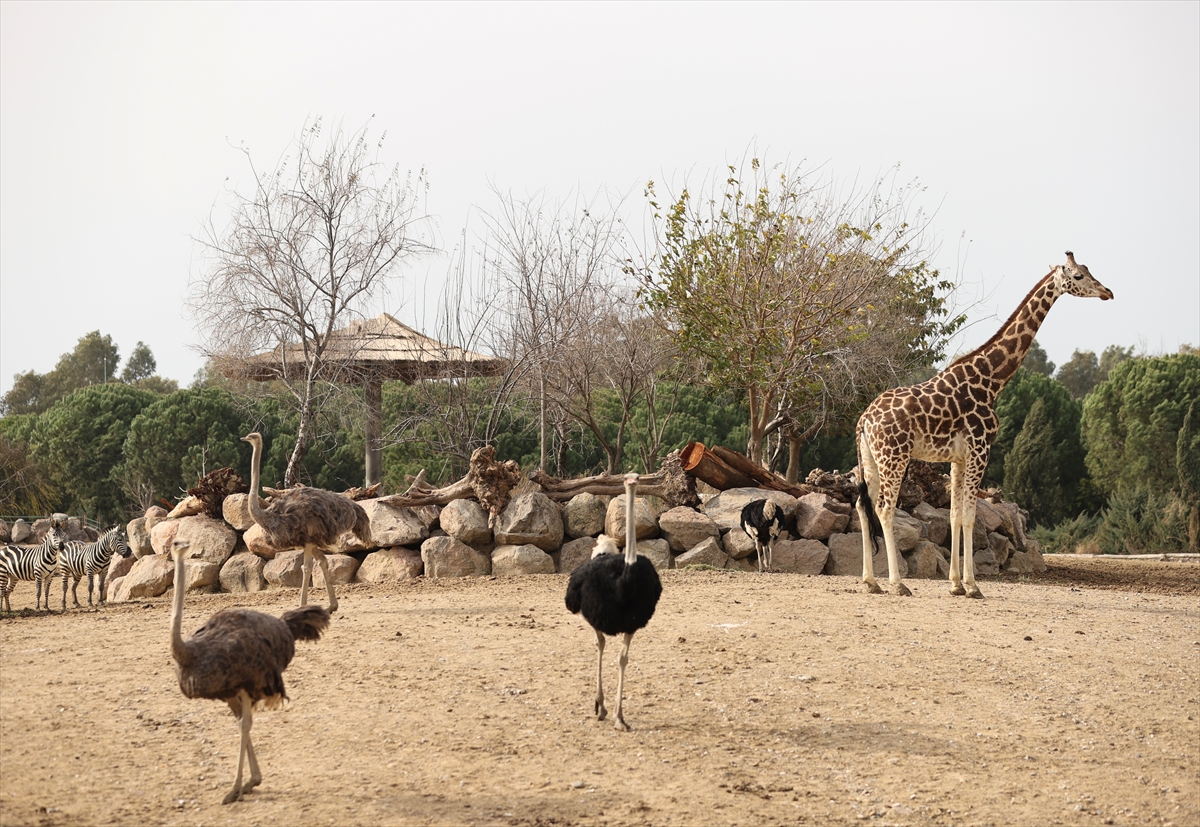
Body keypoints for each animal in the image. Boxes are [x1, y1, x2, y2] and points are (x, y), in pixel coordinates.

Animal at [854, 248, 1113, 597]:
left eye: (1087, 270)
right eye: (1078, 275)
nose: (1107, 292)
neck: (991, 380)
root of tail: (864, 420)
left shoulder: (958, 458)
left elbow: (954, 516)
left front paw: (955, 584)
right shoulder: (981, 448)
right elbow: (970, 517)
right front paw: (973, 586)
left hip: (871, 458)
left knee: (862, 506)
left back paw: (870, 582)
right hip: (895, 455)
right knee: (883, 507)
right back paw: (897, 583)